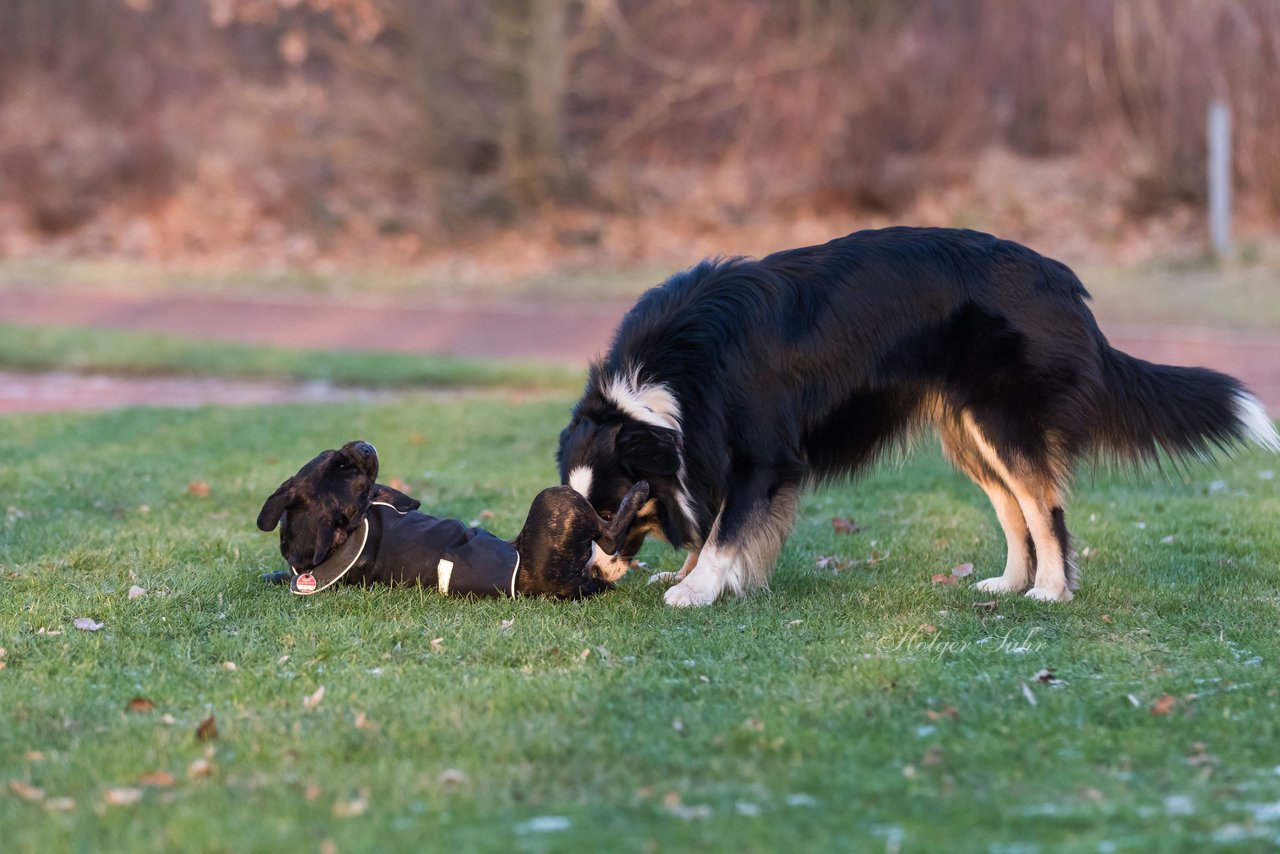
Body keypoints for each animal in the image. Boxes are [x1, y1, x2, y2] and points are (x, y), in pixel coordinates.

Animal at [256, 445, 650, 599]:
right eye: (345, 468)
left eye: (333, 456)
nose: (363, 447)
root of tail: (566, 587)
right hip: (556, 501)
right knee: (610, 537)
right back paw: (639, 492)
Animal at [560, 224, 1280, 604]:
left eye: (614, 509)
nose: (586, 573)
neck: (668, 378)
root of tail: (1062, 282)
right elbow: (715, 521)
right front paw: (695, 577)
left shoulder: (764, 457)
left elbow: (727, 530)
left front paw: (697, 588)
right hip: (970, 434)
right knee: (1014, 509)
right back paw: (1006, 584)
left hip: (1003, 421)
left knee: (1044, 508)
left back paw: (1050, 591)